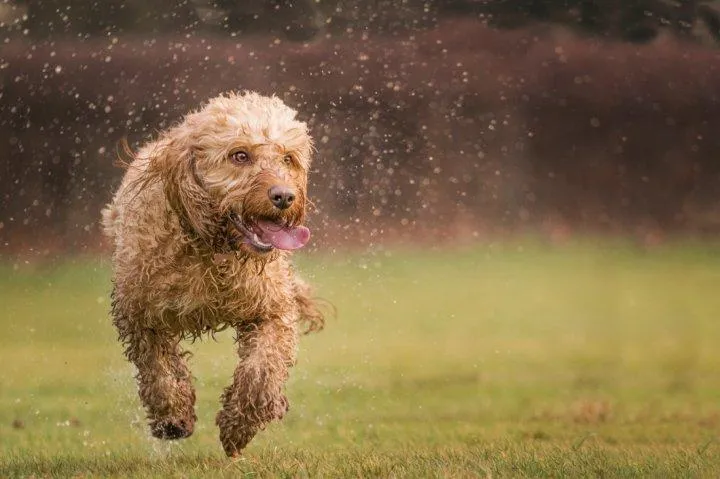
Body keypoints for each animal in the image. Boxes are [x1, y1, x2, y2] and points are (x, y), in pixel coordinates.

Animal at [100, 91, 324, 458]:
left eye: (288, 158)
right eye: (239, 155)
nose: (284, 196)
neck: (215, 248)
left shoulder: (272, 309)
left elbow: (262, 370)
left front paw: (239, 425)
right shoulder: (139, 313)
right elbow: (158, 369)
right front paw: (173, 417)